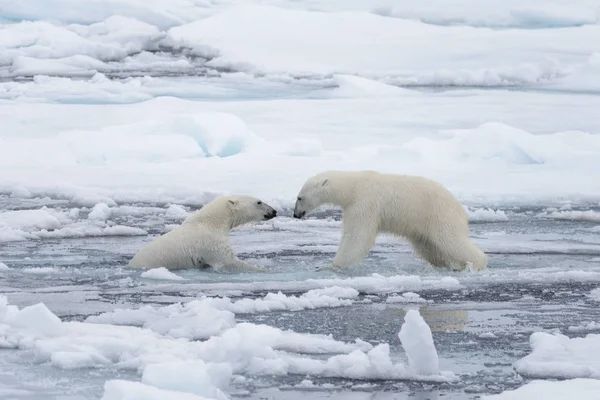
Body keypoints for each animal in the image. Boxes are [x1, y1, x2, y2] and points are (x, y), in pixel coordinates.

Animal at [129, 195, 276, 272]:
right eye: (259, 202)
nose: (274, 211)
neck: (211, 222)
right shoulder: (210, 242)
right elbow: (227, 262)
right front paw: (265, 270)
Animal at [294, 170, 488, 270]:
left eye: (299, 197)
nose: (296, 214)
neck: (353, 186)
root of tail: (459, 208)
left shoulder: (364, 202)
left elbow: (357, 236)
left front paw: (331, 265)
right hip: (423, 225)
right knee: (428, 247)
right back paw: (445, 265)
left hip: (439, 215)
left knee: (450, 240)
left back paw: (476, 264)